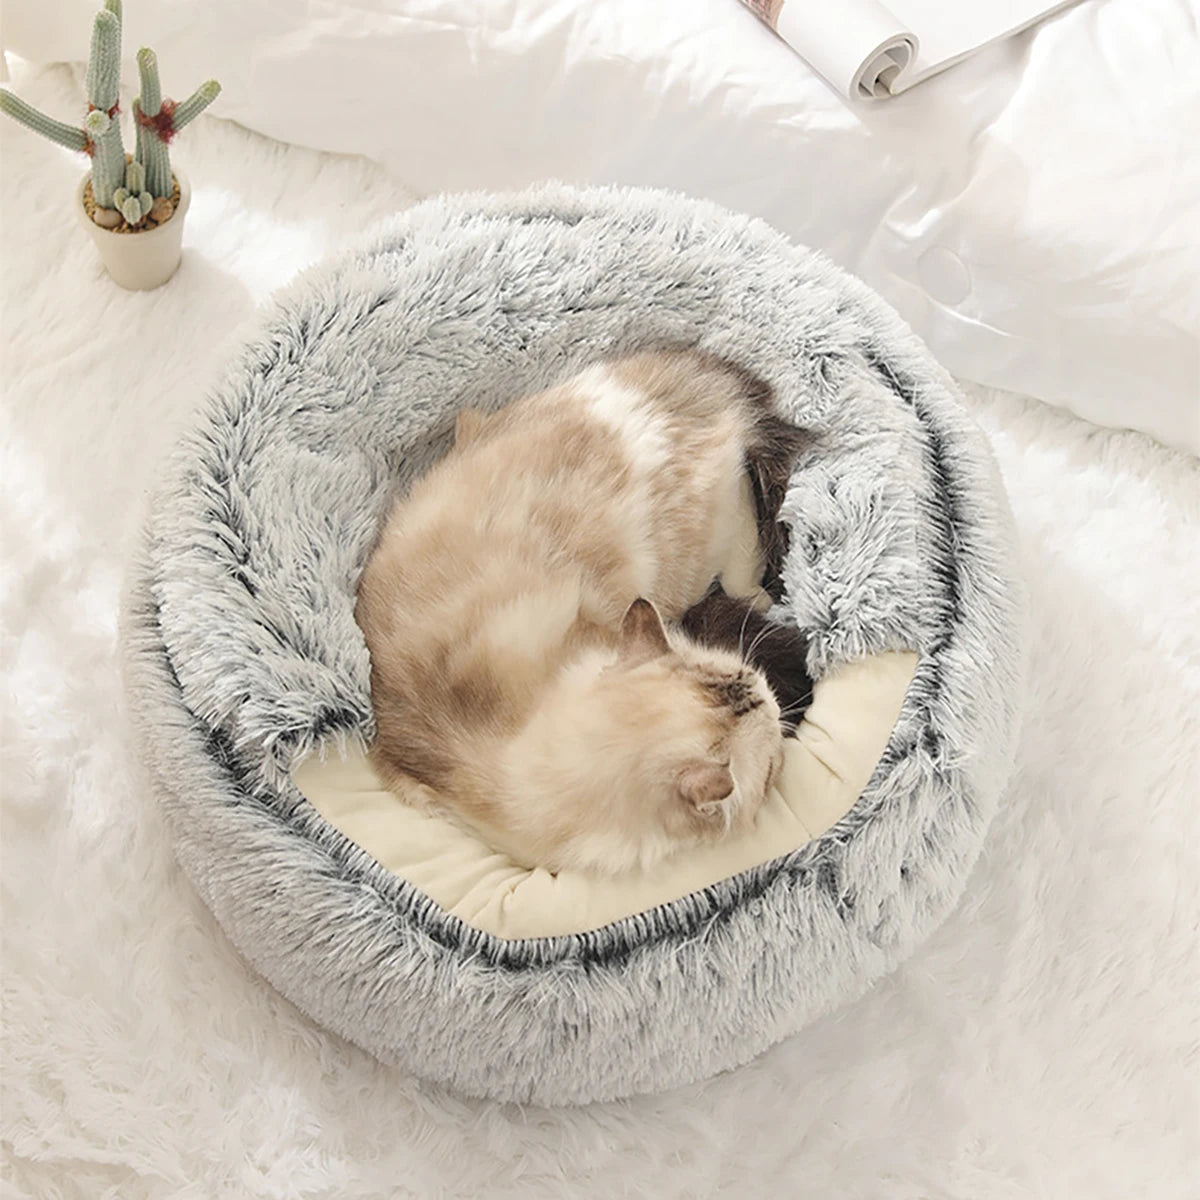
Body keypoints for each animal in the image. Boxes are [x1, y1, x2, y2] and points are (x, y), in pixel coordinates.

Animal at [355, 348, 806, 873]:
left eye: (759, 685)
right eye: (772, 764)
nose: (772, 696)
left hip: (708, 547)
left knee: (744, 548)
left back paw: (763, 598)